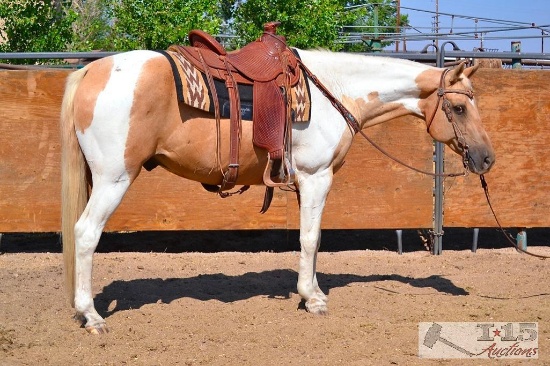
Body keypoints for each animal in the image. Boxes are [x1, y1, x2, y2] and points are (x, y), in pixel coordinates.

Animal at [59, 47, 496, 334]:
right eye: (459, 108)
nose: (486, 158)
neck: (334, 91)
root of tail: (93, 70)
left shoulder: (304, 181)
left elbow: (309, 241)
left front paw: (311, 291)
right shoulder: (317, 177)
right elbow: (311, 238)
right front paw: (313, 299)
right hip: (114, 179)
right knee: (85, 234)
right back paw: (91, 316)